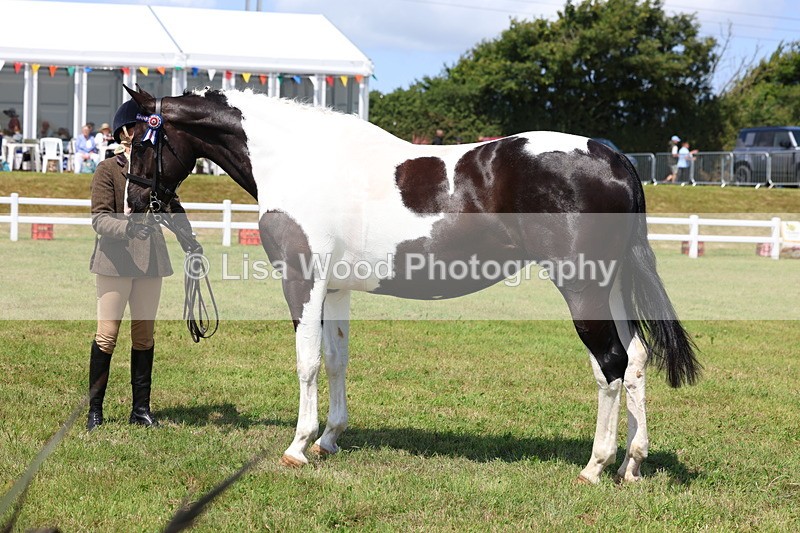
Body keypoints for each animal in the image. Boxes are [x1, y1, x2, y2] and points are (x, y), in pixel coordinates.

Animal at [122, 84, 699, 484]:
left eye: (136, 145)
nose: (134, 202)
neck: (299, 161)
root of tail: (613, 157)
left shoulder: (302, 282)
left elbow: (306, 363)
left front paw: (297, 446)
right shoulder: (336, 289)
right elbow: (336, 360)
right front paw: (329, 439)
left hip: (581, 288)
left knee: (610, 365)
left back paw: (595, 466)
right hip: (611, 286)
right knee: (637, 359)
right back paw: (631, 464)